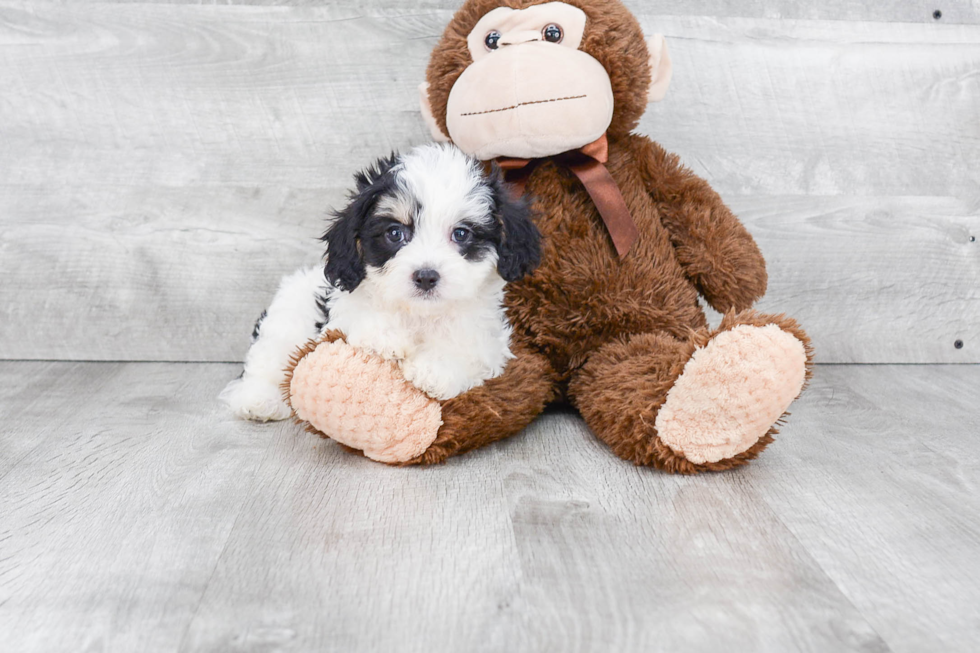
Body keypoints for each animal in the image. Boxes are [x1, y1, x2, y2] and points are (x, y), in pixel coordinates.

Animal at [222, 141, 540, 422]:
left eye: (461, 234)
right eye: (395, 233)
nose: (426, 276)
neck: (419, 315)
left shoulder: (487, 340)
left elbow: (467, 349)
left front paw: (434, 370)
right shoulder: (342, 309)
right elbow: (361, 316)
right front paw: (385, 338)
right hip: (285, 320)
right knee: (268, 360)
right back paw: (259, 400)